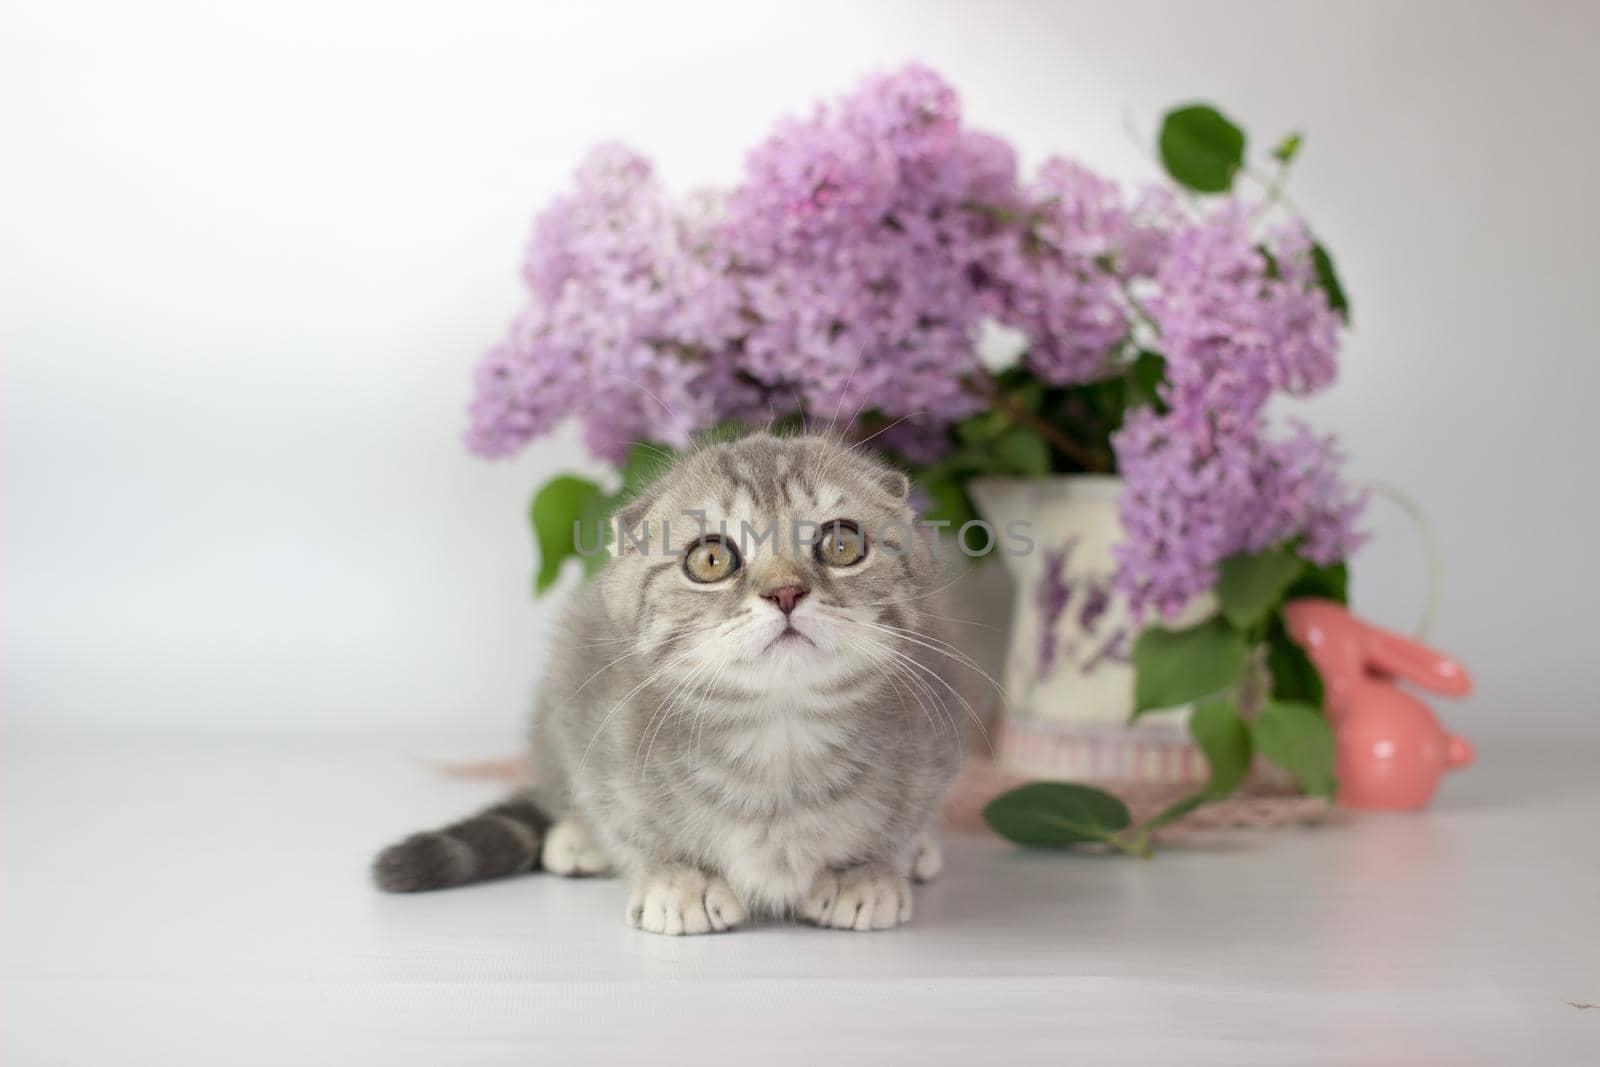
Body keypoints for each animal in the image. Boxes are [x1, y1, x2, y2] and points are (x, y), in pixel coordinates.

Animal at [376, 435, 972, 934]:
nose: (785, 592)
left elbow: (903, 818)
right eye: (711, 558)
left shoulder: (934, 732)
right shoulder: (598, 728)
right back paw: (576, 838)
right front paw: (683, 882)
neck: (780, 737)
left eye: (843, 545)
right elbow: (629, 823)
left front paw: (863, 873)